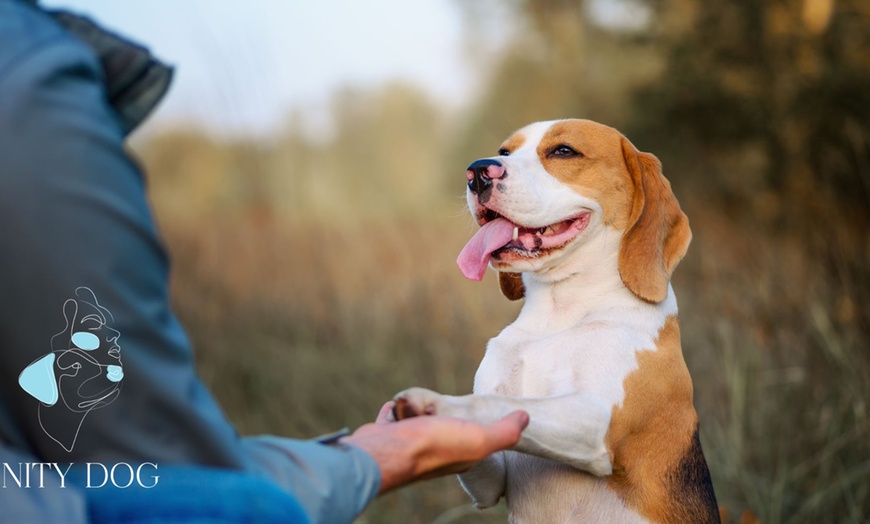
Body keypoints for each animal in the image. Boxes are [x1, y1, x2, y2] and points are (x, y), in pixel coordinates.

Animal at [396, 119, 724, 524]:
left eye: (564, 151)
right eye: (505, 152)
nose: (477, 172)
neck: (559, 313)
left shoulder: (594, 421)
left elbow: (497, 404)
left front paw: (435, 406)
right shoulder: (492, 481)